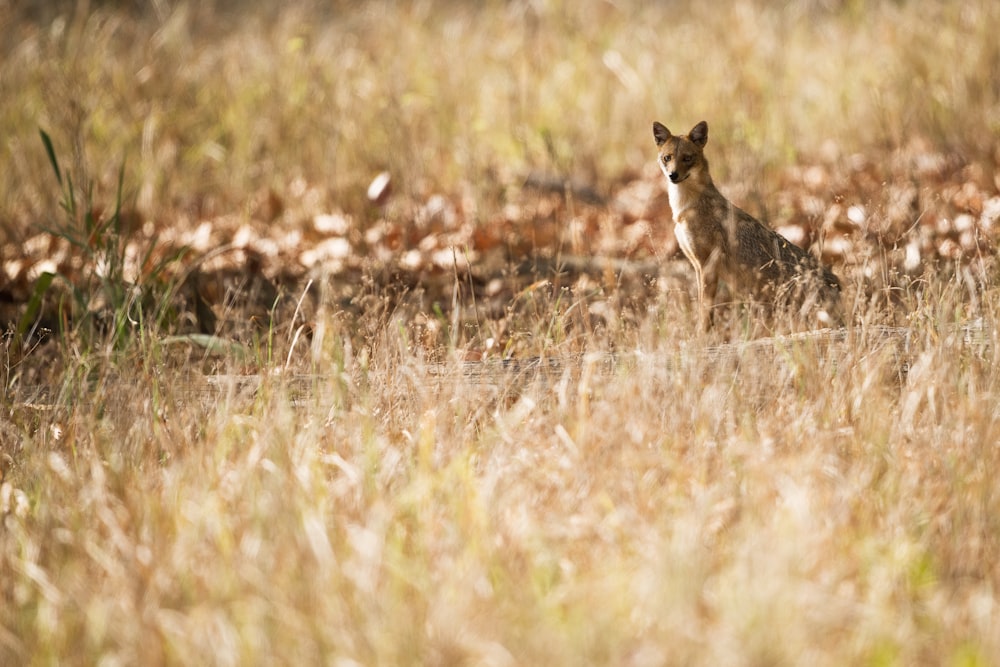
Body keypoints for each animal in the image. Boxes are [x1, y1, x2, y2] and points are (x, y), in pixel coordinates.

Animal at [652, 120, 840, 332]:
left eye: (687, 158)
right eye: (667, 158)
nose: (672, 175)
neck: (684, 208)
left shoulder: (707, 264)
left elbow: (705, 309)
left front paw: (702, 334)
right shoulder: (696, 263)